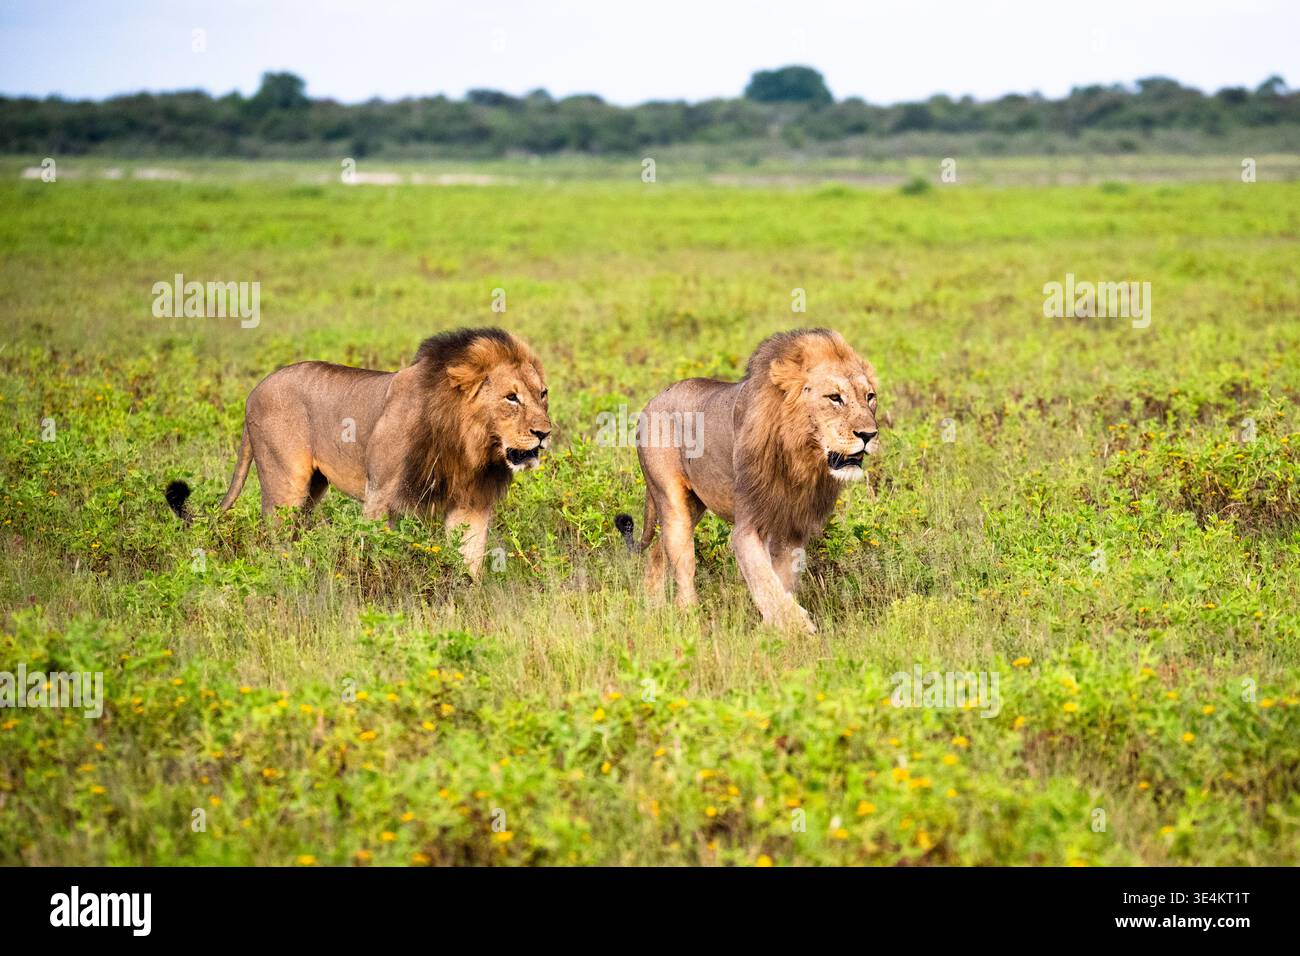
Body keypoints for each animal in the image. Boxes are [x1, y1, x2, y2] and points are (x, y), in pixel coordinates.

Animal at [165, 327, 551, 577]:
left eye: (542, 393)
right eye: (511, 397)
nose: (544, 433)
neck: (468, 442)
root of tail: (252, 392)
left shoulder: (470, 502)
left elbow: (470, 559)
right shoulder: (381, 495)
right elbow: (376, 554)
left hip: (313, 488)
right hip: (284, 483)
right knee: (276, 538)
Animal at [615, 328, 879, 633]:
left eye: (870, 397)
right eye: (834, 397)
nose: (869, 434)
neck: (801, 457)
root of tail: (653, 399)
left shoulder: (792, 529)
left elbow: (780, 582)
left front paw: (773, 627)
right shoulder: (750, 524)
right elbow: (763, 577)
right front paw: (800, 628)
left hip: (694, 506)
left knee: (658, 550)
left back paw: (653, 607)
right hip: (671, 501)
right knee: (682, 563)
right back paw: (688, 617)